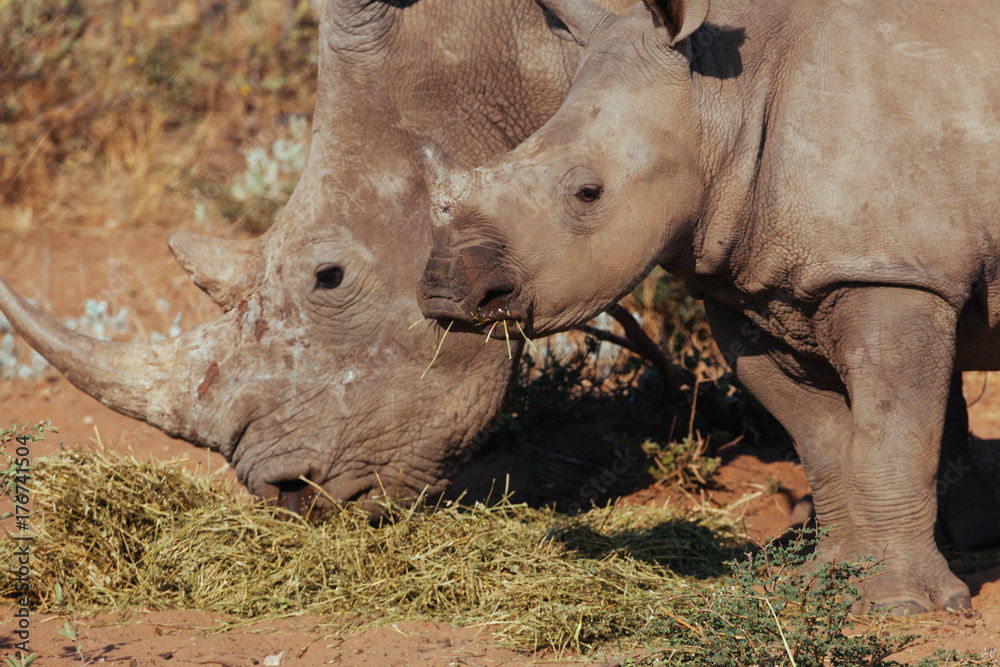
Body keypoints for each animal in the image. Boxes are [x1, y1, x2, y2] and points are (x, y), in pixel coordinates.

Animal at [418, 0, 1000, 612]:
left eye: (588, 193)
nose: (446, 296)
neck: (726, 101)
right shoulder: (754, 287)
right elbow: (822, 441)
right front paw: (827, 581)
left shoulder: (895, 272)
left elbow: (889, 439)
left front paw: (899, 605)